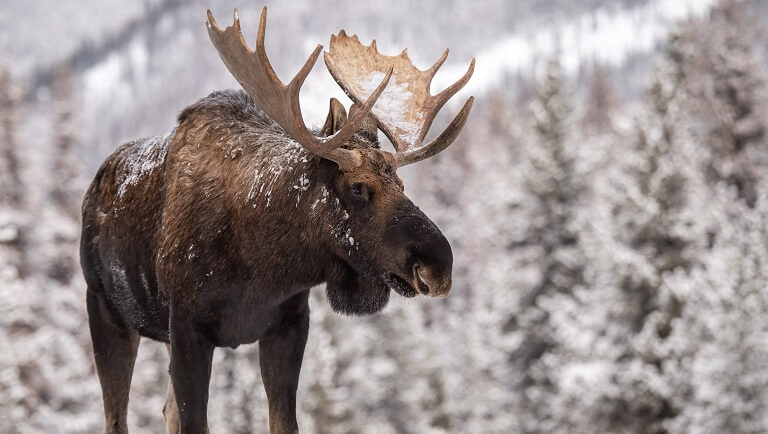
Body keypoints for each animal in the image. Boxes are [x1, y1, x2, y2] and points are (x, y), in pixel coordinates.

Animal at [79, 7, 474, 434]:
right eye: (357, 187)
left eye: (401, 183)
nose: (439, 265)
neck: (265, 265)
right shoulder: (186, 326)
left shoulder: (289, 323)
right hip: (104, 308)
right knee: (116, 417)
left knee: (166, 409)